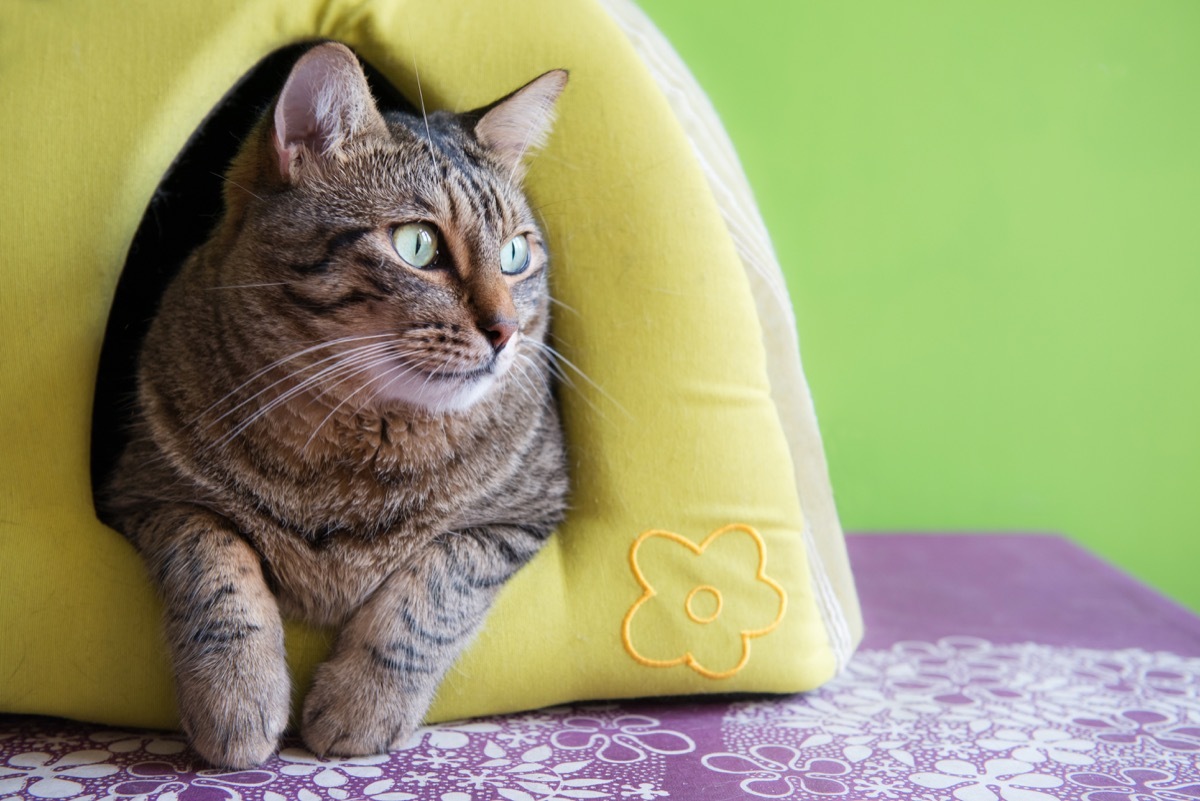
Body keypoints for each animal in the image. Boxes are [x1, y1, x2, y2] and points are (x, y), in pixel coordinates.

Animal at [100, 42, 568, 767]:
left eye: (516, 253)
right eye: (417, 244)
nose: (506, 330)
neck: (355, 436)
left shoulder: (522, 511)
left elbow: (433, 591)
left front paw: (359, 706)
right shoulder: (149, 492)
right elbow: (216, 568)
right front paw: (236, 699)